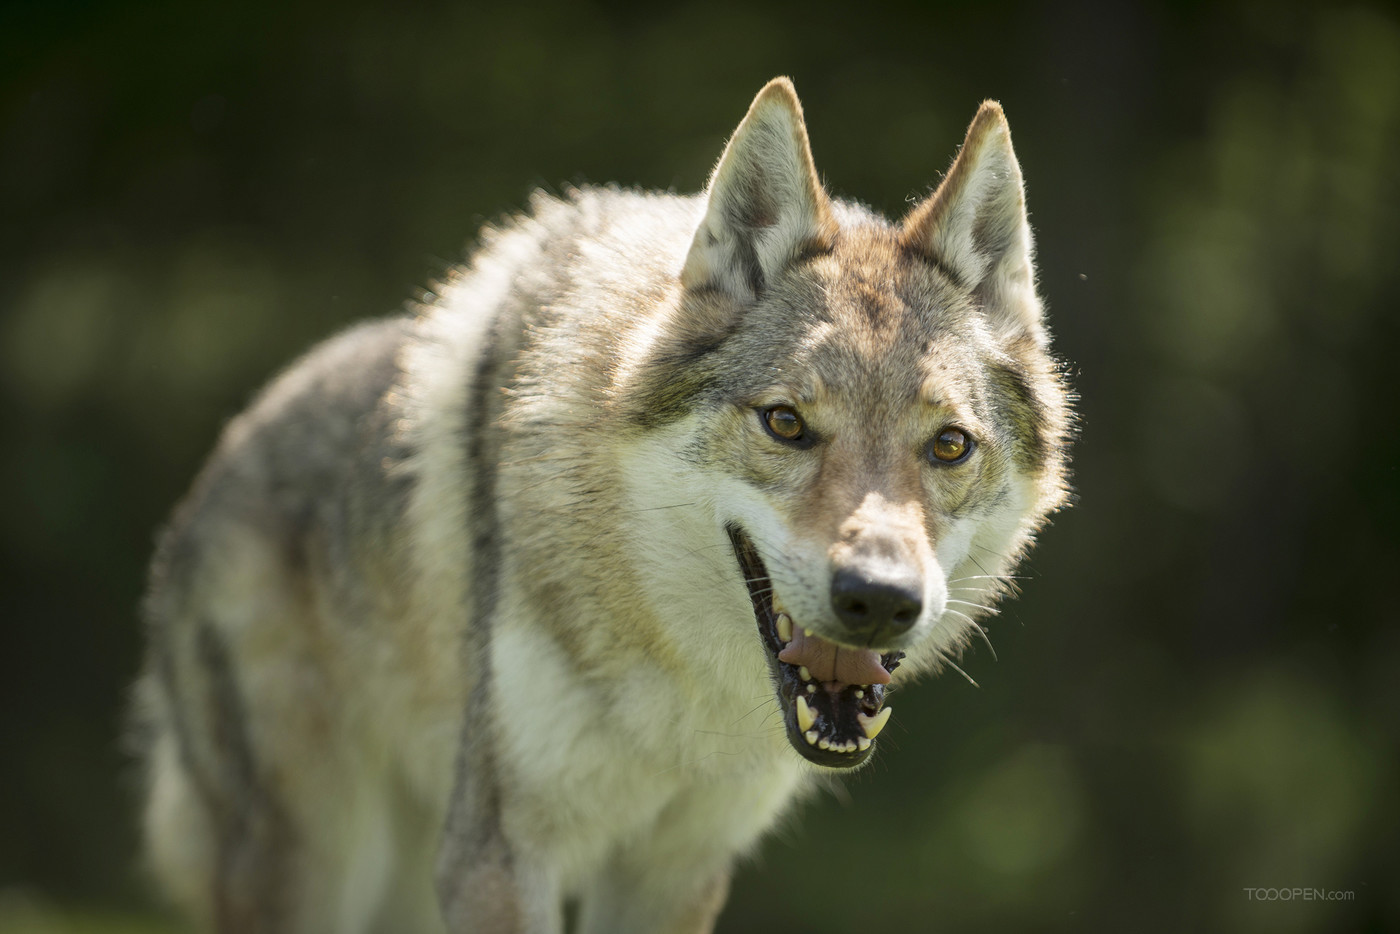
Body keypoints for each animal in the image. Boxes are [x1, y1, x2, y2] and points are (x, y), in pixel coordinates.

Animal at [133, 76, 1069, 929]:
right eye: (786, 423)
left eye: (948, 446)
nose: (878, 599)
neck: (671, 679)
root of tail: (225, 452)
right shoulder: (499, 858)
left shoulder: (676, 872)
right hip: (323, 864)